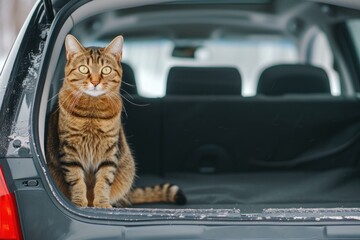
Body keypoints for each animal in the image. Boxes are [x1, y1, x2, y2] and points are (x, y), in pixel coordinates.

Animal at [46, 35, 186, 208]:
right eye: (84, 69)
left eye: (106, 70)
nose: (95, 82)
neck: (92, 112)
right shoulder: (69, 149)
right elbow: (76, 180)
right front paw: (79, 203)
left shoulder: (109, 149)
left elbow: (104, 181)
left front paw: (102, 204)